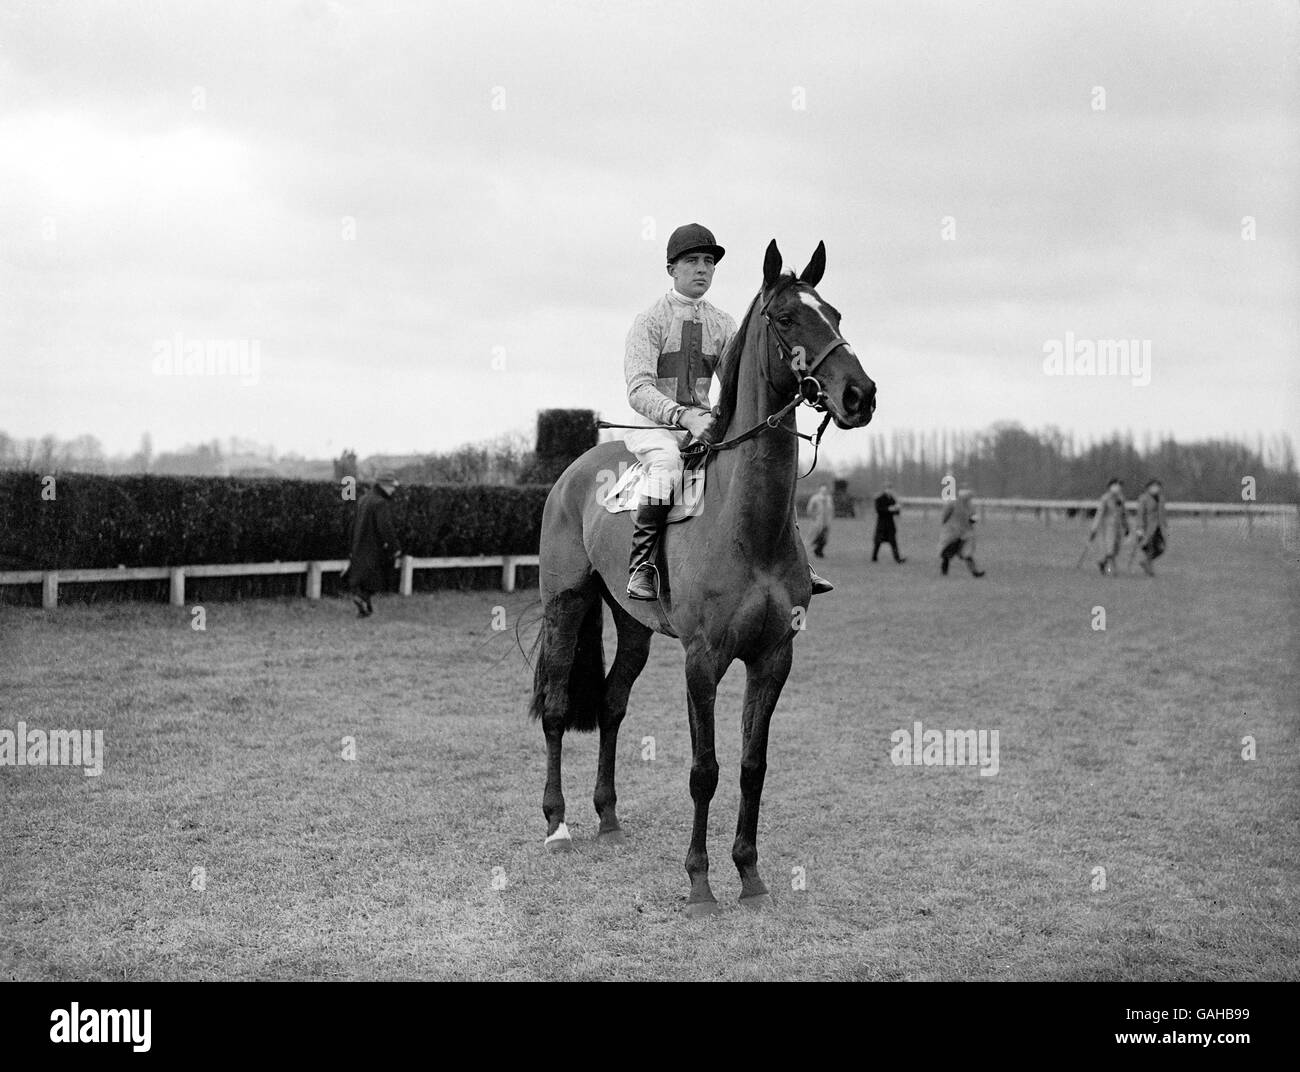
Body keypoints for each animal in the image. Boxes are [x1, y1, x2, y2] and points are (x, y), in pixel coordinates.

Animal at [533, 237, 878, 914]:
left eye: (836, 315)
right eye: (787, 318)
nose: (861, 394)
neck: (748, 529)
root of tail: (576, 470)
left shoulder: (773, 656)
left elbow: (751, 766)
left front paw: (749, 874)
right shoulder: (704, 659)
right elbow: (705, 770)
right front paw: (699, 881)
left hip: (633, 625)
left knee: (611, 703)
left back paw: (607, 816)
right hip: (567, 601)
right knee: (558, 706)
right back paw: (558, 824)